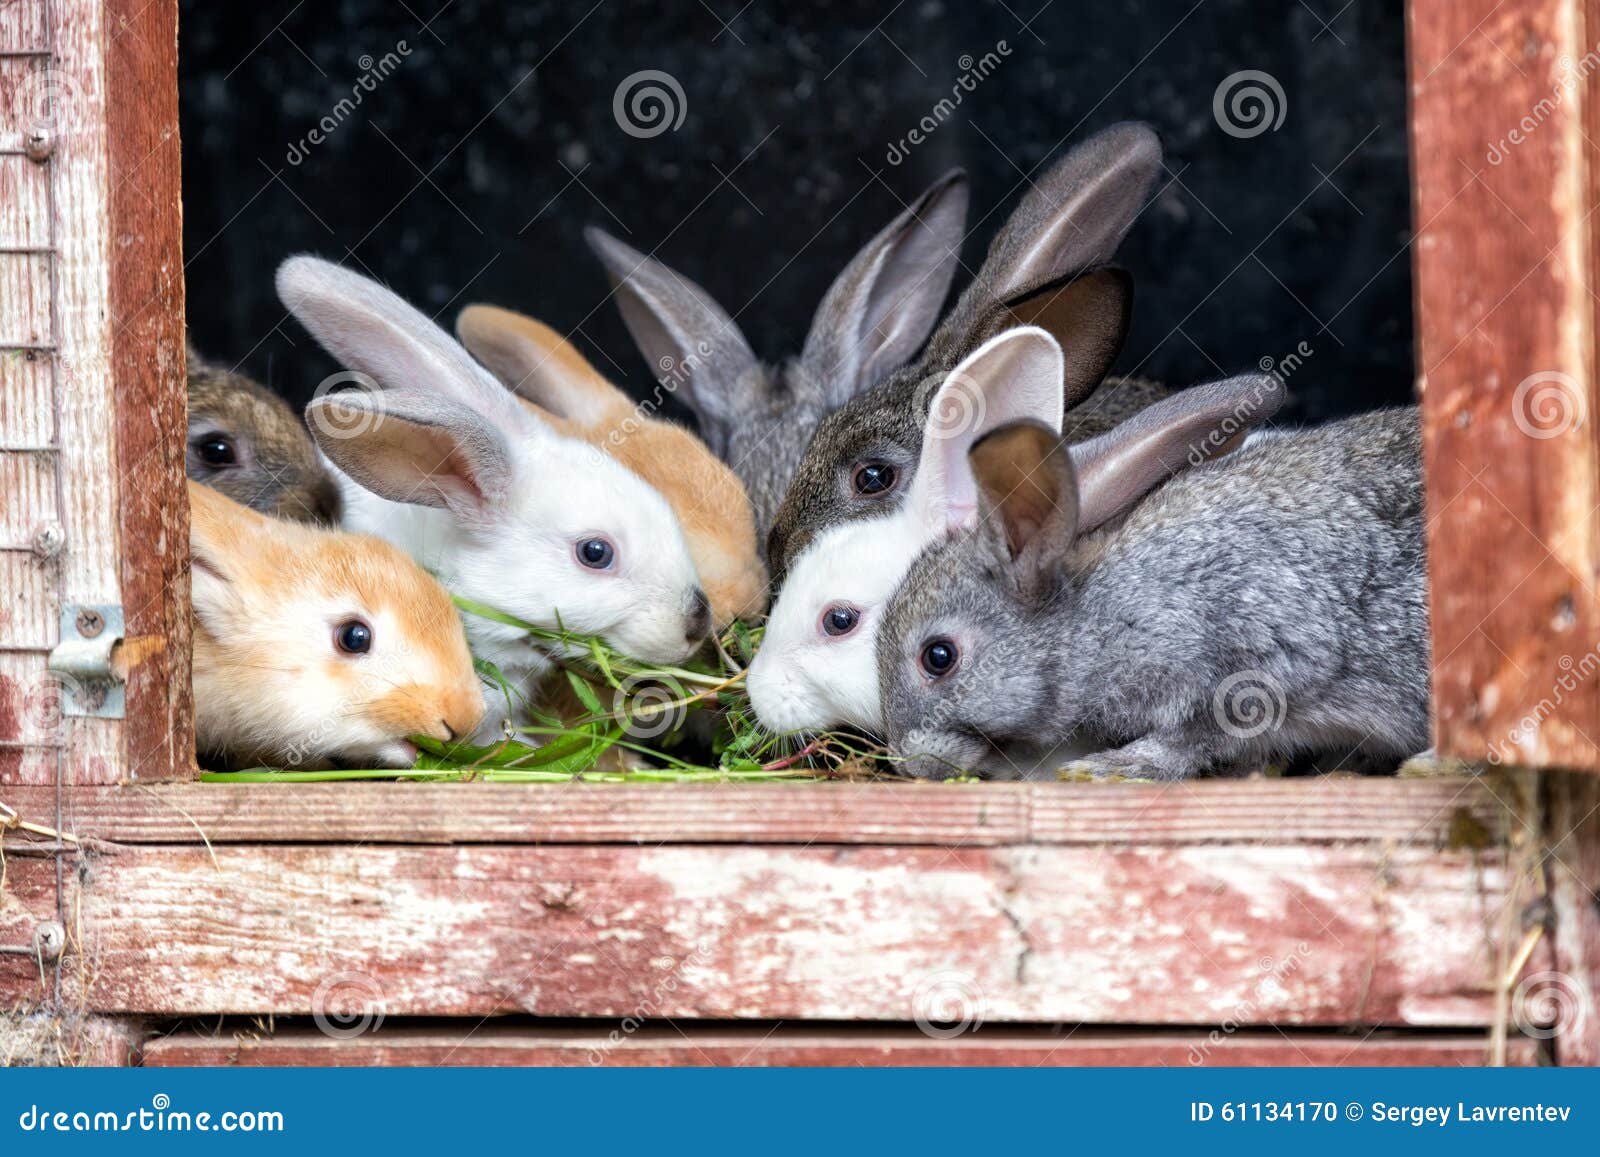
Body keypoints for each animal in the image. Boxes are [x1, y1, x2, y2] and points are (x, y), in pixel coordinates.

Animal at [876, 374, 1427, 782]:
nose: (909, 765)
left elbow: (1190, 739)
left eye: (939, 657)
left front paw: (1110, 767)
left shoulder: (1248, 664)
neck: (1095, 617)